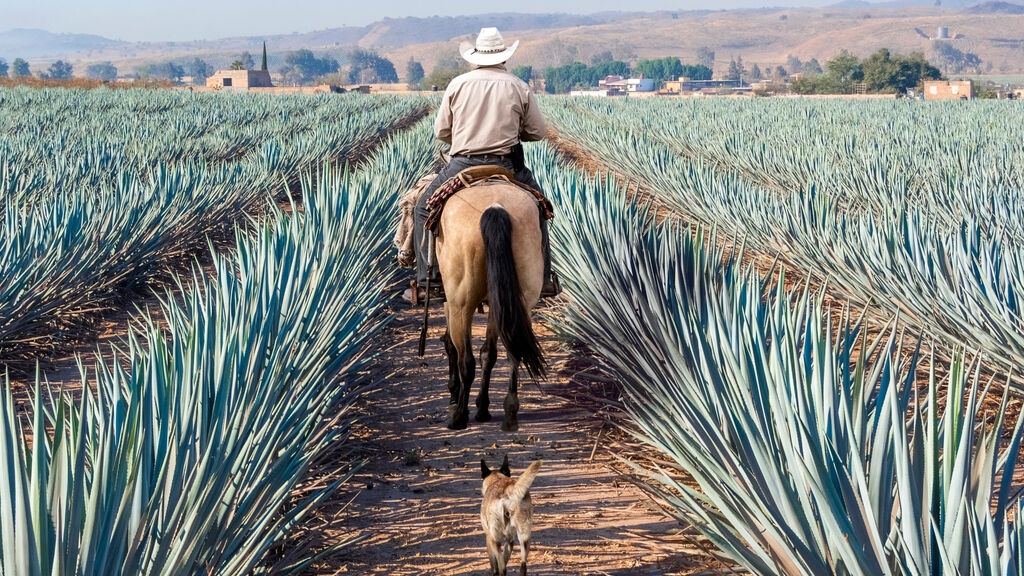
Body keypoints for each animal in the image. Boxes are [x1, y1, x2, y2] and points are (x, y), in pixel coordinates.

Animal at [436, 181, 548, 428]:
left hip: (462, 302)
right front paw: (482, 406)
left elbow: (451, 345)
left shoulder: (451, 302)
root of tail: (495, 207)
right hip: (516, 299)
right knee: (511, 351)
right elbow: (488, 354)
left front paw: (454, 395)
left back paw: (459, 417)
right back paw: (508, 410)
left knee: (466, 360)